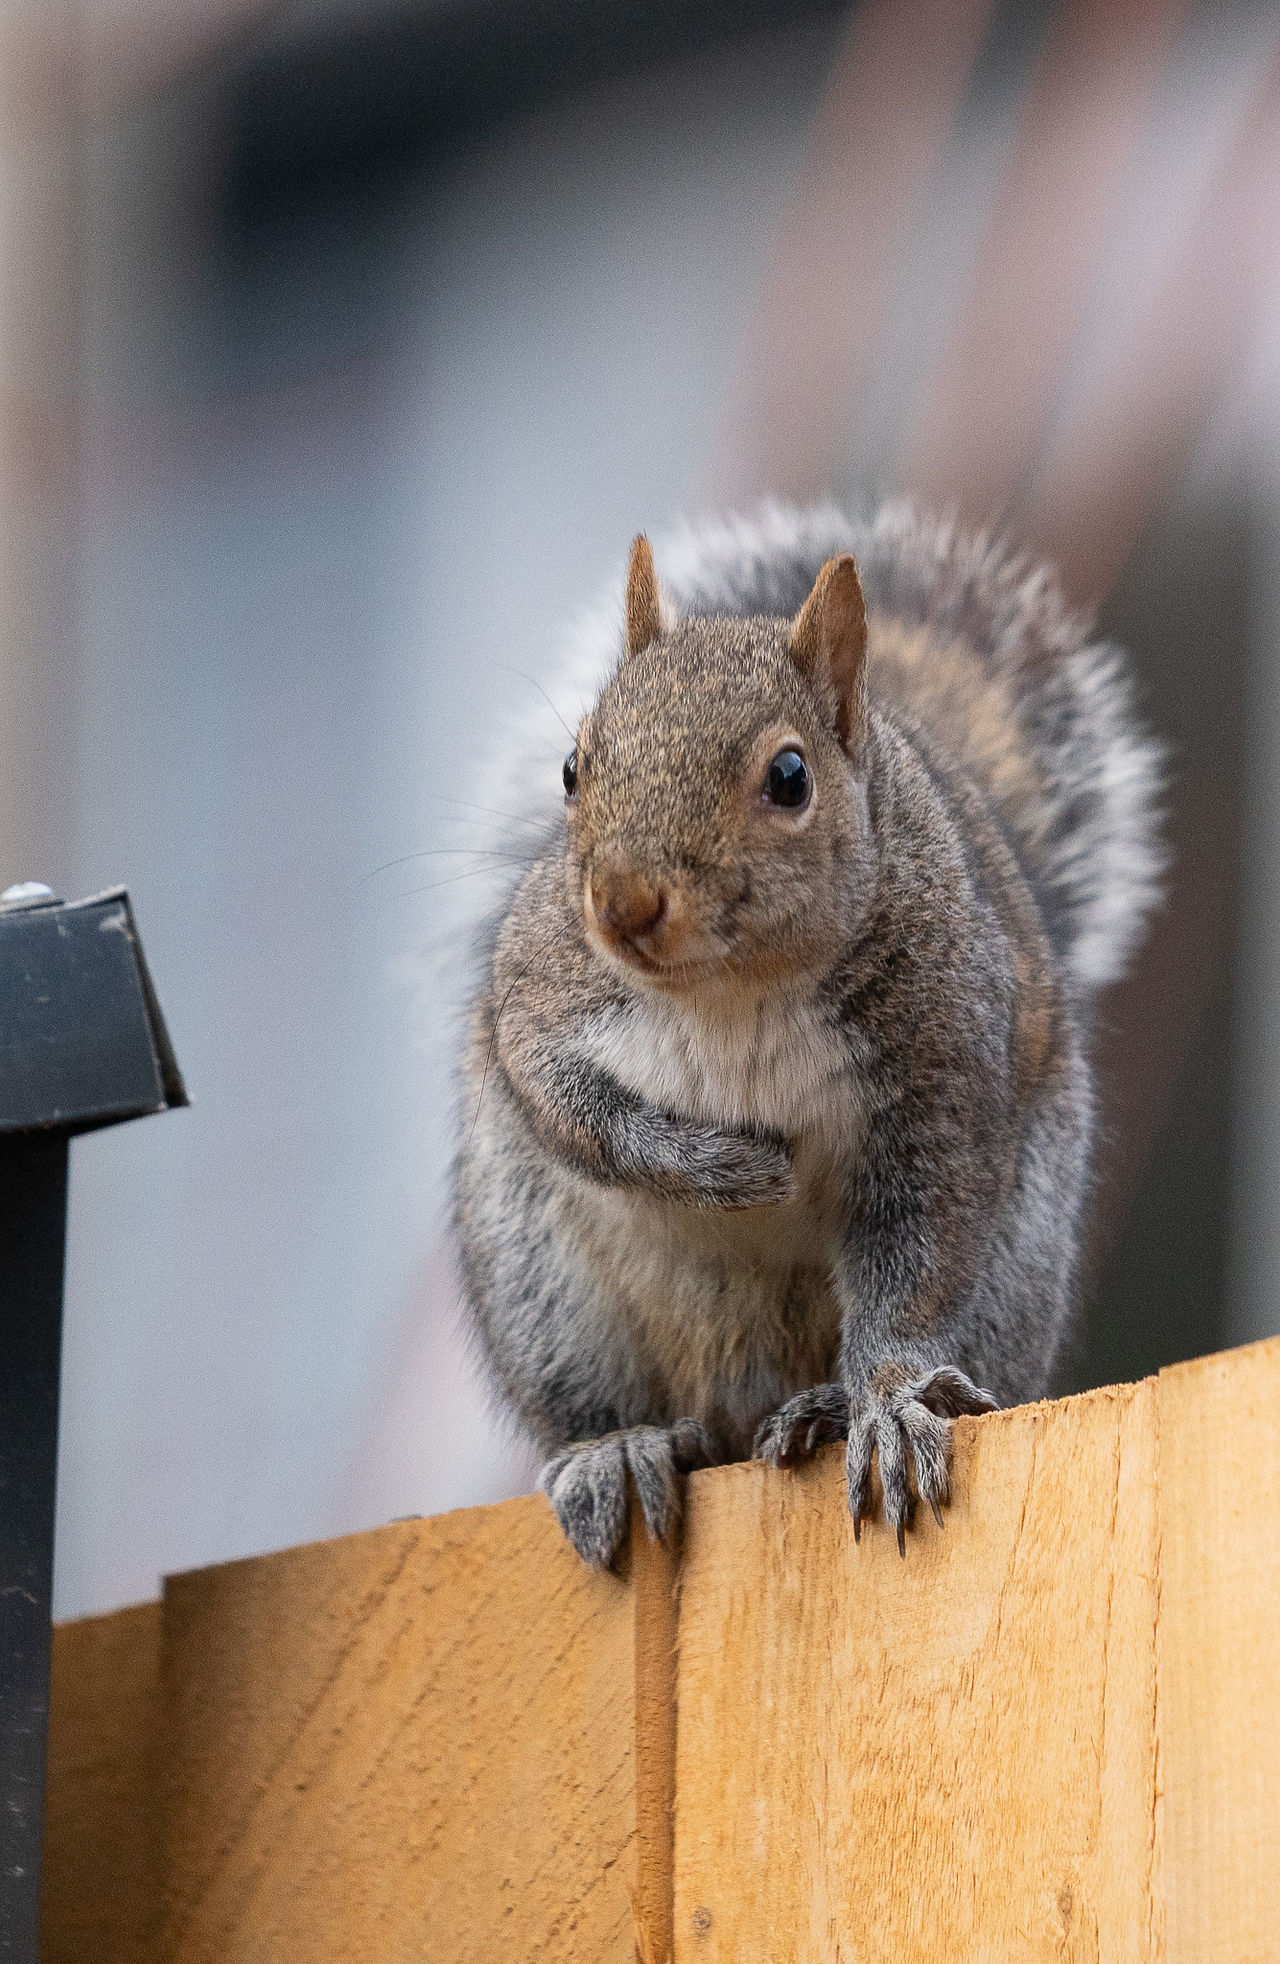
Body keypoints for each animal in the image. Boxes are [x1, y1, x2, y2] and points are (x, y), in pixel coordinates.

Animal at [452, 502, 1162, 1567]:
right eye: (573, 767)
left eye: (790, 778)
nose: (622, 905)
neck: (730, 991)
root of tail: (740, 1399)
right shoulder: (540, 990)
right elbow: (564, 1104)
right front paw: (722, 1169)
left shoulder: (938, 1074)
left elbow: (917, 1252)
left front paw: (888, 1403)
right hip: (538, 1281)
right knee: (601, 1396)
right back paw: (620, 1446)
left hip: (1019, 1259)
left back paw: (823, 1407)